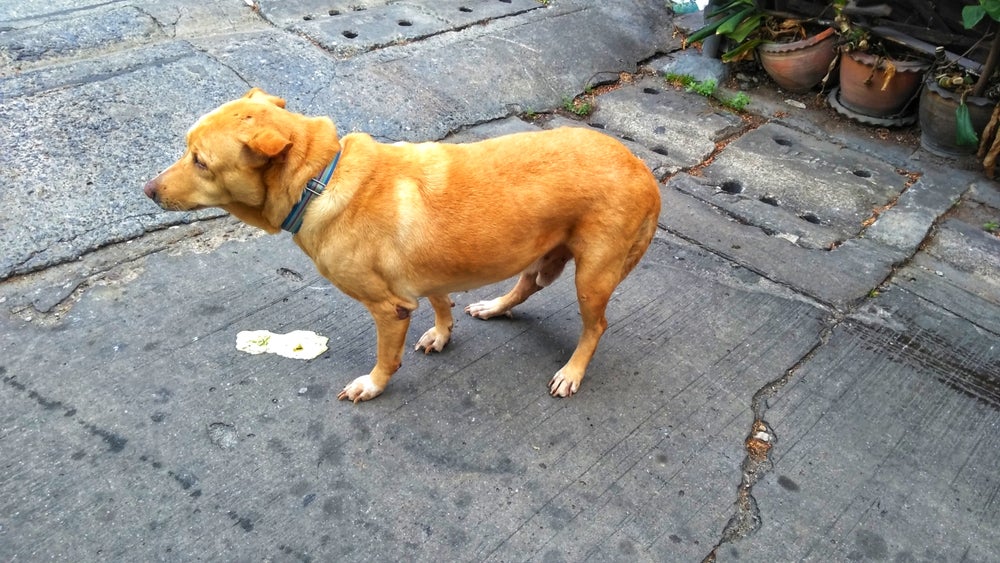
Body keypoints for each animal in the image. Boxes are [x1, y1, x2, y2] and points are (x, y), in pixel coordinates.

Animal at [145, 89, 664, 400]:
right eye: (187, 149)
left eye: (201, 162)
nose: (147, 191)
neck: (320, 178)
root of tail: (642, 169)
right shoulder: (429, 275)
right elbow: (441, 303)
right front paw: (442, 332)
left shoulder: (388, 307)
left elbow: (385, 359)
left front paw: (373, 385)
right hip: (543, 253)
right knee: (526, 286)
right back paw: (495, 306)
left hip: (592, 275)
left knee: (596, 327)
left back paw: (573, 370)